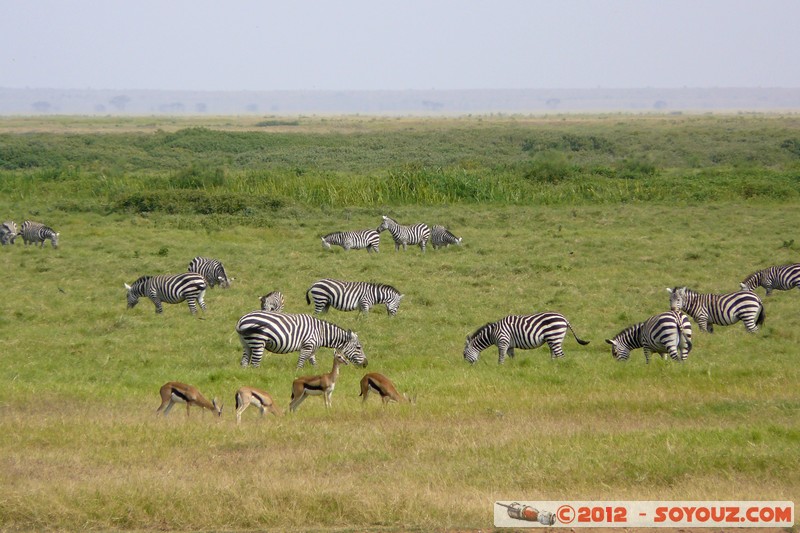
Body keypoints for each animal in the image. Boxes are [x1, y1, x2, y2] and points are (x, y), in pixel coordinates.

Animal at [233, 310, 368, 368]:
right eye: (358, 347)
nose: (366, 364)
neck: (321, 332)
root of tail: (241, 320)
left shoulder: (312, 348)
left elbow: (313, 363)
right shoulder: (307, 345)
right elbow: (301, 362)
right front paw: (297, 375)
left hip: (246, 343)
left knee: (244, 362)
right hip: (258, 342)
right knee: (255, 363)